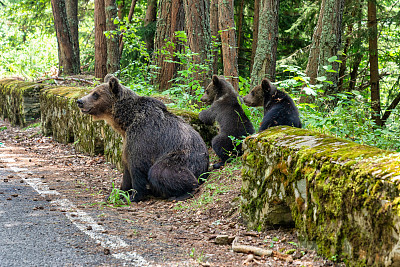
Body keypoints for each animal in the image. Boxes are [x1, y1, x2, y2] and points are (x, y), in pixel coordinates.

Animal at [76, 76, 211, 202]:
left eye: (96, 94)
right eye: (92, 91)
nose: (79, 101)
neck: (126, 122)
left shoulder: (142, 137)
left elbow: (137, 167)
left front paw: (133, 196)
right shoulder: (127, 142)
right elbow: (126, 169)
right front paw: (117, 194)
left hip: (182, 157)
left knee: (160, 171)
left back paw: (182, 194)